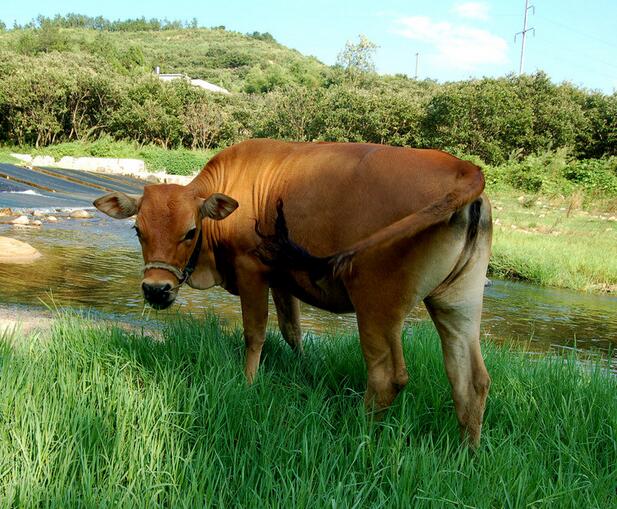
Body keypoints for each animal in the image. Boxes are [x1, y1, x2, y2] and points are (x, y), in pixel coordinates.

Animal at [94, 138, 494, 444]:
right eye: (138, 230)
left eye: (190, 232)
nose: (155, 290)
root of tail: (463, 167)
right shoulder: (281, 280)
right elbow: (292, 331)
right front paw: (303, 370)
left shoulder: (252, 271)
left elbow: (255, 333)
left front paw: (248, 384)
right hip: (457, 304)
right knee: (471, 381)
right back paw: (466, 455)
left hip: (376, 303)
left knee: (387, 379)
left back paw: (357, 435)